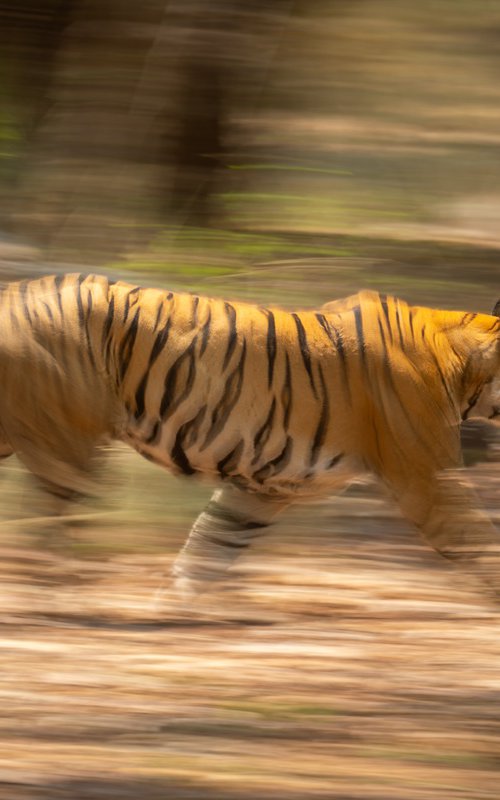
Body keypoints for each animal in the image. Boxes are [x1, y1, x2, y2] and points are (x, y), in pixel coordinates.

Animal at [0, 273, 499, 604]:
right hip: (65, 443)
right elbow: (477, 538)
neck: (463, 366)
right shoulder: (424, 478)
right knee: (47, 524)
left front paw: (170, 606)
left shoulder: (264, 488)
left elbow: (210, 546)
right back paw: (58, 593)